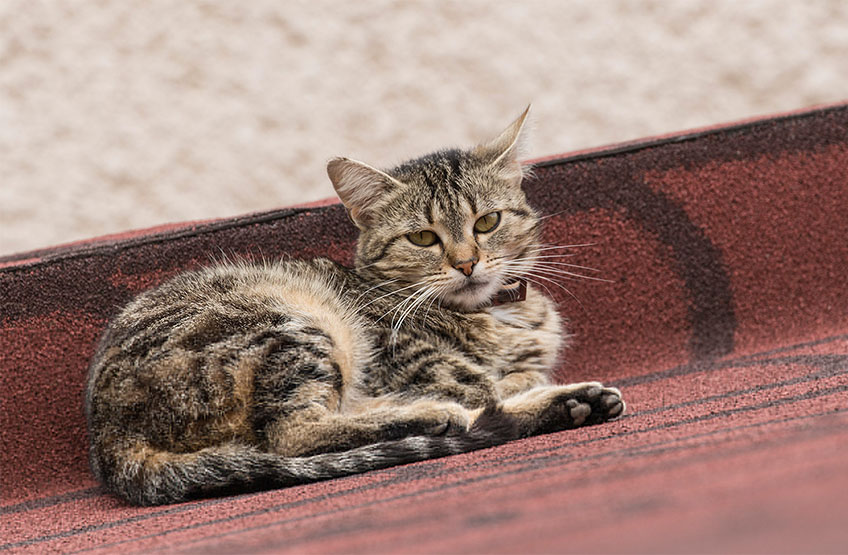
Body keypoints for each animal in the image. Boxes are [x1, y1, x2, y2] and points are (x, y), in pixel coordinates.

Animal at [86, 106, 628, 506]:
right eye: (423, 238)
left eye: (487, 222)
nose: (467, 263)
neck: (492, 316)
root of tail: (110, 437)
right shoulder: (421, 364)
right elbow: (488, 385)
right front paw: (527, 388)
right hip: (292, 327)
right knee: (293, 433)